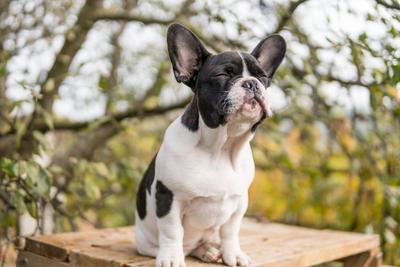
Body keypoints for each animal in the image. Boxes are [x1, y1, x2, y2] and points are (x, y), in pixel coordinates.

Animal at [136, 23, 286, 267]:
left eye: (263, 77)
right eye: (224, 74)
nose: (252, 83)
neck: (221, 148)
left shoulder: (239, 202)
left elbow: (230, 231)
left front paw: (233, 254)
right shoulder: (168, 197)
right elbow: (172, 231)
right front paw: (171, 258)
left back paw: (208, 249)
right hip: (146, 243)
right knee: (182, 245)